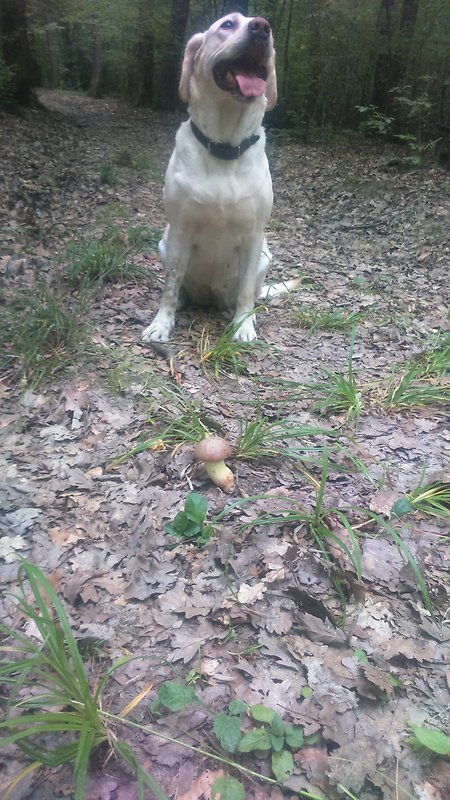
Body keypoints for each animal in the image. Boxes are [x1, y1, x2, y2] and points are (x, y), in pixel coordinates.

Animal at [142, 12, 292, 342]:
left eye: (269, 29)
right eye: (227, 25)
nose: (262, 27)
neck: (225, 146)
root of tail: (210, 296)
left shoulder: (253, 235)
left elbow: (246, 292)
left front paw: (244, 325)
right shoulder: (180, 230)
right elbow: (170, 286)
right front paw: (161, 324)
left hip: (265, 255)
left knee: (249, 292)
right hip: (164, 243)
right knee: (179, 287)